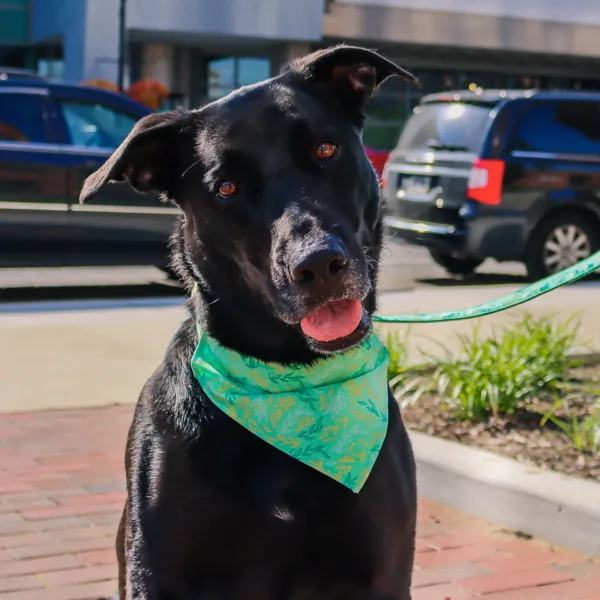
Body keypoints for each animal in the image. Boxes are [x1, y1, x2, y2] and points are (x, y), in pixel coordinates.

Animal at [79, 44, 418, 596]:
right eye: (227, 187)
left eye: (326, 150)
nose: (318, 264)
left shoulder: (383, 573)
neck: (292, 382)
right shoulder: (154, 572)